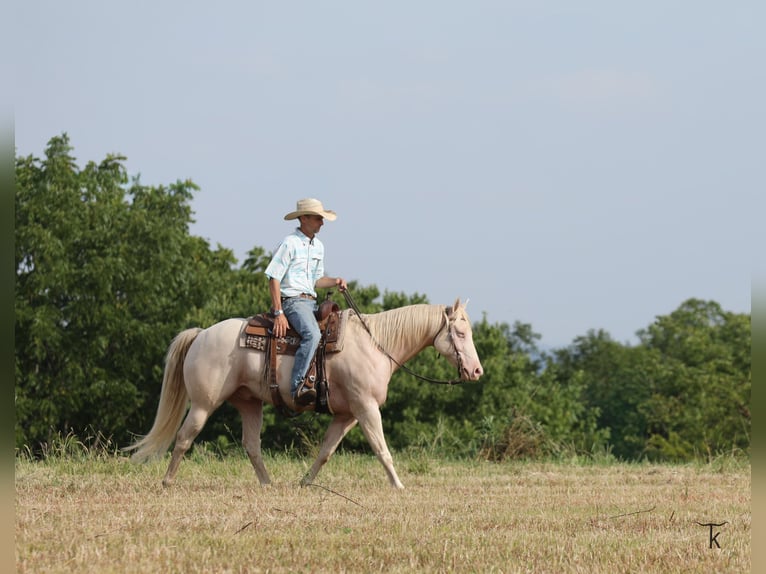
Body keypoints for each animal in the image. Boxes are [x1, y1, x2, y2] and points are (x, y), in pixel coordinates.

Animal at [125, 299, 483, 489]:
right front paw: (399, 485)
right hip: (202, 404)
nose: (477, 371)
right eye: (460, 333)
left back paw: (268, 485)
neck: (376, 344)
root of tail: (201, 335)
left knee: (251, 445)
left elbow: (325, 451)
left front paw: (305, 483)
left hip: (250, 403)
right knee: (184, 438)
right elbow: (383, 450)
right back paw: (167, 483)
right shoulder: (366, 408)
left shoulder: (347, 415)